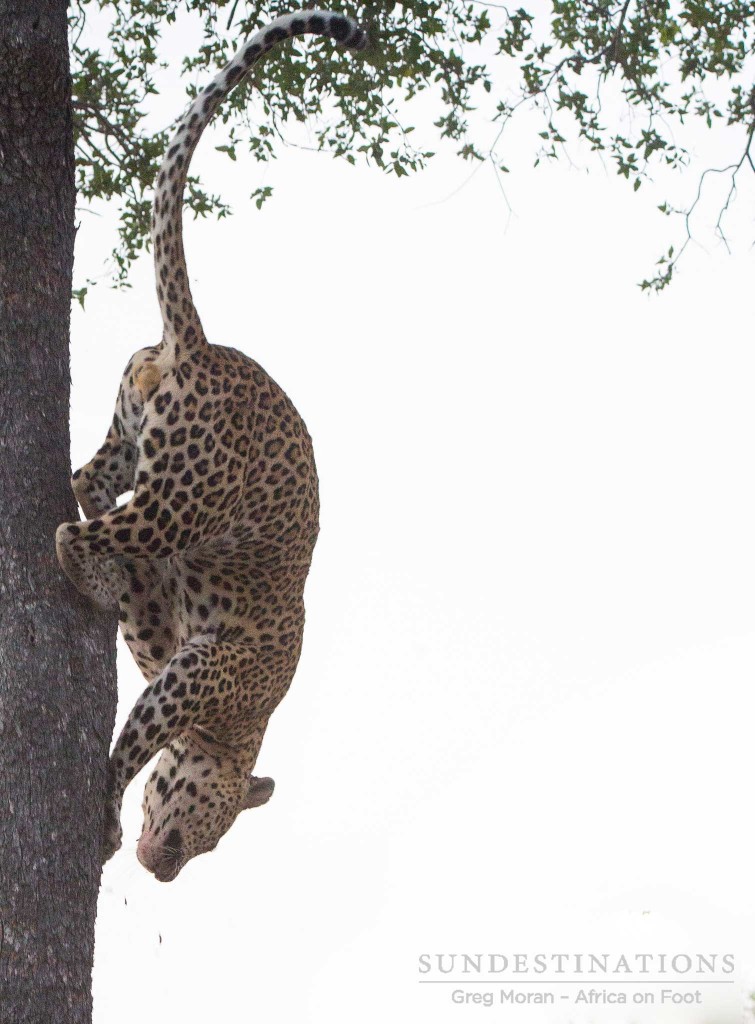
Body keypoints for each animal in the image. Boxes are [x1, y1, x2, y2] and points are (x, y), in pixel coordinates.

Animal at [55, 8, 368, 880]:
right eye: (211, 825)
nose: (164, 872)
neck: (241, 728)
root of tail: (200, 347)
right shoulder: (196, 673)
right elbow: (128, 750)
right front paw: (105, 821)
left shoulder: (165, 635)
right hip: (179, 502)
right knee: (72, 530)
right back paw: (86, 568)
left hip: (135, 435)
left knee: (88, 481)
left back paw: (98, 560)